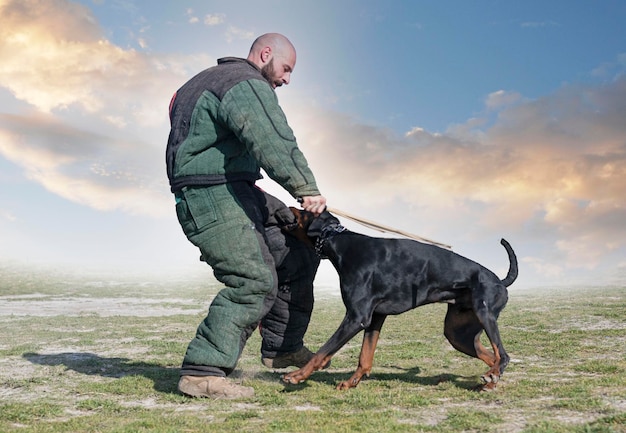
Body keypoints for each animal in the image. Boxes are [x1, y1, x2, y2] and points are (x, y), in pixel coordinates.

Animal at [282, 209, 516, 392]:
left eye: (303, 209)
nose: (290, 204)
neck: (343, 245)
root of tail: (500, 281)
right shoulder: (375, 317)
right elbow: (365, 358)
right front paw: (351, 383)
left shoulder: (356, 318)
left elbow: (322, 352)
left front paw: (296, 376)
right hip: (457, 333)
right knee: (492, 356)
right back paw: (490, 380)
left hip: (484, 313)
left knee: (503, 355)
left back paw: (492, 376)